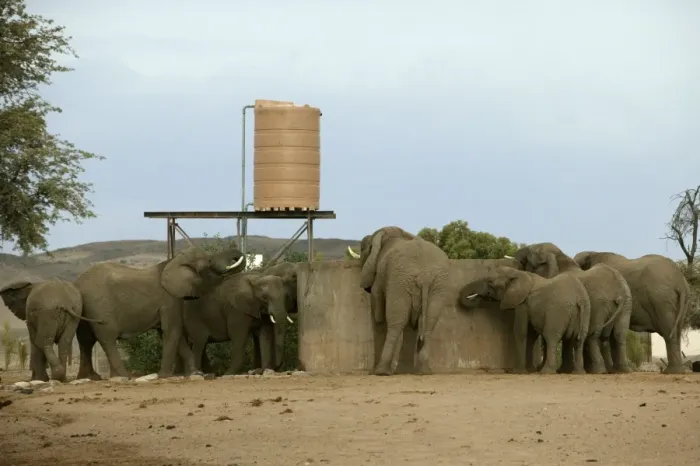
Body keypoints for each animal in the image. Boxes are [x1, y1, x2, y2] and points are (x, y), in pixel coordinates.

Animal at [73, 246, 246, 380]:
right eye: (209, 262)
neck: (174, 262)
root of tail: (77, 283)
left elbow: (173, 334)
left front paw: (196, 373)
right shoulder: (170, 299)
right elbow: (172, 331)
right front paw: (165, 376)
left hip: (87, 307)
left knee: (86, 340)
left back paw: (91, 378)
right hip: (100, 306)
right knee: (107, 338)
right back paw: (124, 377)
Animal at [347, 226, 451, 376]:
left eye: (363, 248)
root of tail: (424, 277)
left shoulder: (380, 281)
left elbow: (378, 319)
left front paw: (373, 372)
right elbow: (411, 326)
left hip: (399, 281)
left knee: (395, 324)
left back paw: (382, 372)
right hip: (438, 285)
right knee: (428, 324)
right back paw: (424, 371)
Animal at [459, 266, 591, 374]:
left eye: (490, 282)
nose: (475, 297)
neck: (517, 273)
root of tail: (579, 298)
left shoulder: (522, 303)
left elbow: (520, 331)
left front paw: (518, 372)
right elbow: (531, 335)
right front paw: (530, 370)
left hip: (558, 312)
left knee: (551, 337)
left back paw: (546, 372)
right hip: (585, 312)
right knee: (578, 340)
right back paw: (577, 373)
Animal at [508, 243, 633, 374]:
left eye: (530, 256)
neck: (559, 256)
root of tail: (619, 291)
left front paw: (546, 369)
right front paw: (563, 369)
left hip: (600, 304)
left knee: (594, 335)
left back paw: (599, 371)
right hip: (627, 304)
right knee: (619, 334)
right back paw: (621, 370)